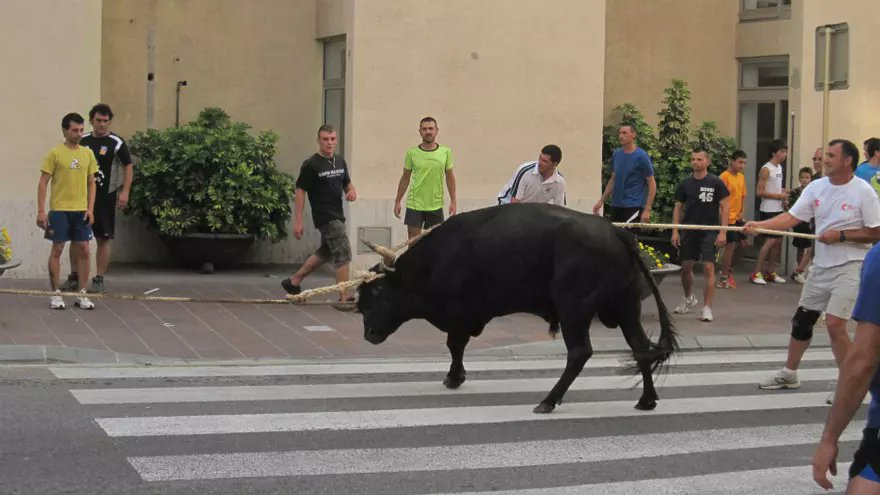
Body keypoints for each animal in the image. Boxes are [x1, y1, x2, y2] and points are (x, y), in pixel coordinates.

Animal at [357, 203, 678, 413]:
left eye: (377, 291)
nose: (368, 334)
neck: (437, 259)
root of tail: (616, 233)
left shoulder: (461, 314)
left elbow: (454, 346)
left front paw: (454, 377)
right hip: (626, 308)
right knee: (641, 348)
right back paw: (647, 400)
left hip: (574, 310)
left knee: (580, 353)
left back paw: (548, 401)